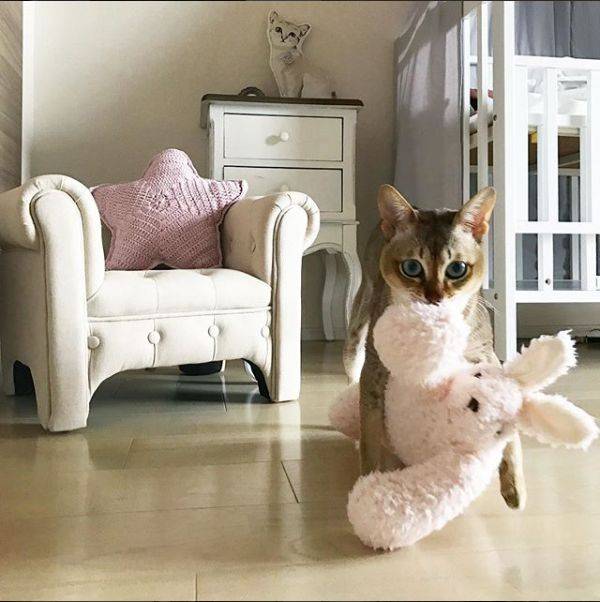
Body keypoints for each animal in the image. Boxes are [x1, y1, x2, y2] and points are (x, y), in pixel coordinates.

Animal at [343, 184, 526, 510]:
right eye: (412, 267)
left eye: (457, 269)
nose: (435, 296)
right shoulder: (375, 370)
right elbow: (371, 433)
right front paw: (366, 483)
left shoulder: (486, 358)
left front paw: (513, 487)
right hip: (361, 313)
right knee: (352, 361)